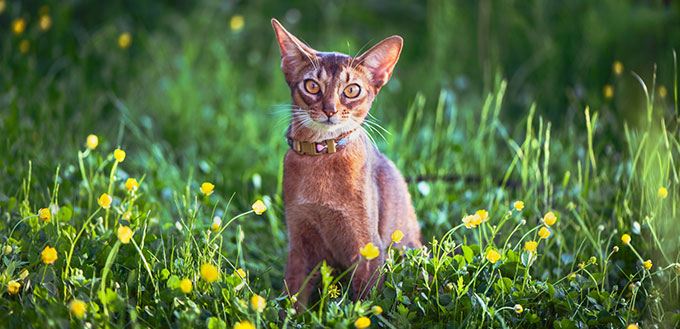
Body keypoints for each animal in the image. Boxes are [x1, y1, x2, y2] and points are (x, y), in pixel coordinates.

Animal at [270, 18, 420, 304]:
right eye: (312, 86)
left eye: (352, 90)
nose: (330, 110)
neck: (321, 156)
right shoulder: (299, 245)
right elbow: (292, 296)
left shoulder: (367, 249)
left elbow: (365, 303)